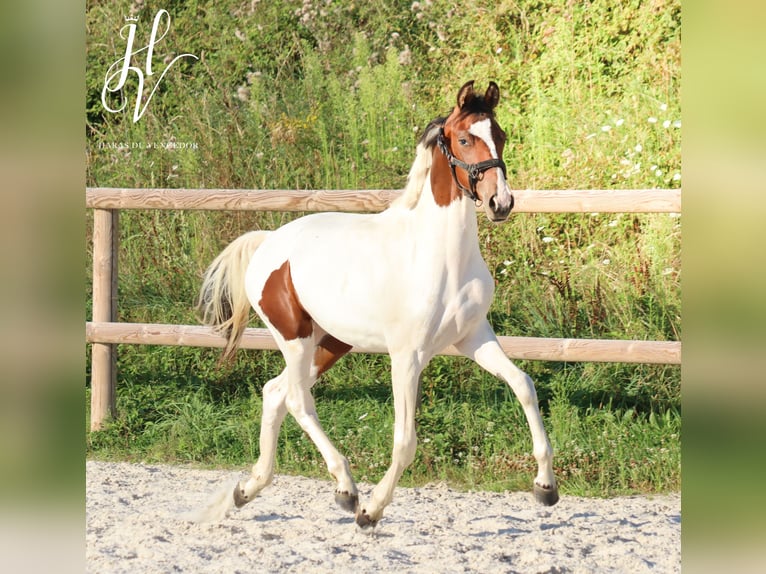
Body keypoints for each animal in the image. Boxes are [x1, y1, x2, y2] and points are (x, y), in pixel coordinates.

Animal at [195, 81, 560, 532]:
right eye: (463, 139)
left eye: (501, 136)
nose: (501, 203)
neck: (443, 257)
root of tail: (267, 242)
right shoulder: (407, 355)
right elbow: (405, 441)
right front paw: (371, 511)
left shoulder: (473, 337)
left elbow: (524, 385)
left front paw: (546, 488)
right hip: (294, 337)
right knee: (297, 399)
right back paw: (347, 491)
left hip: (331, 342)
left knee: (274, 392)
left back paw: (248, 490)